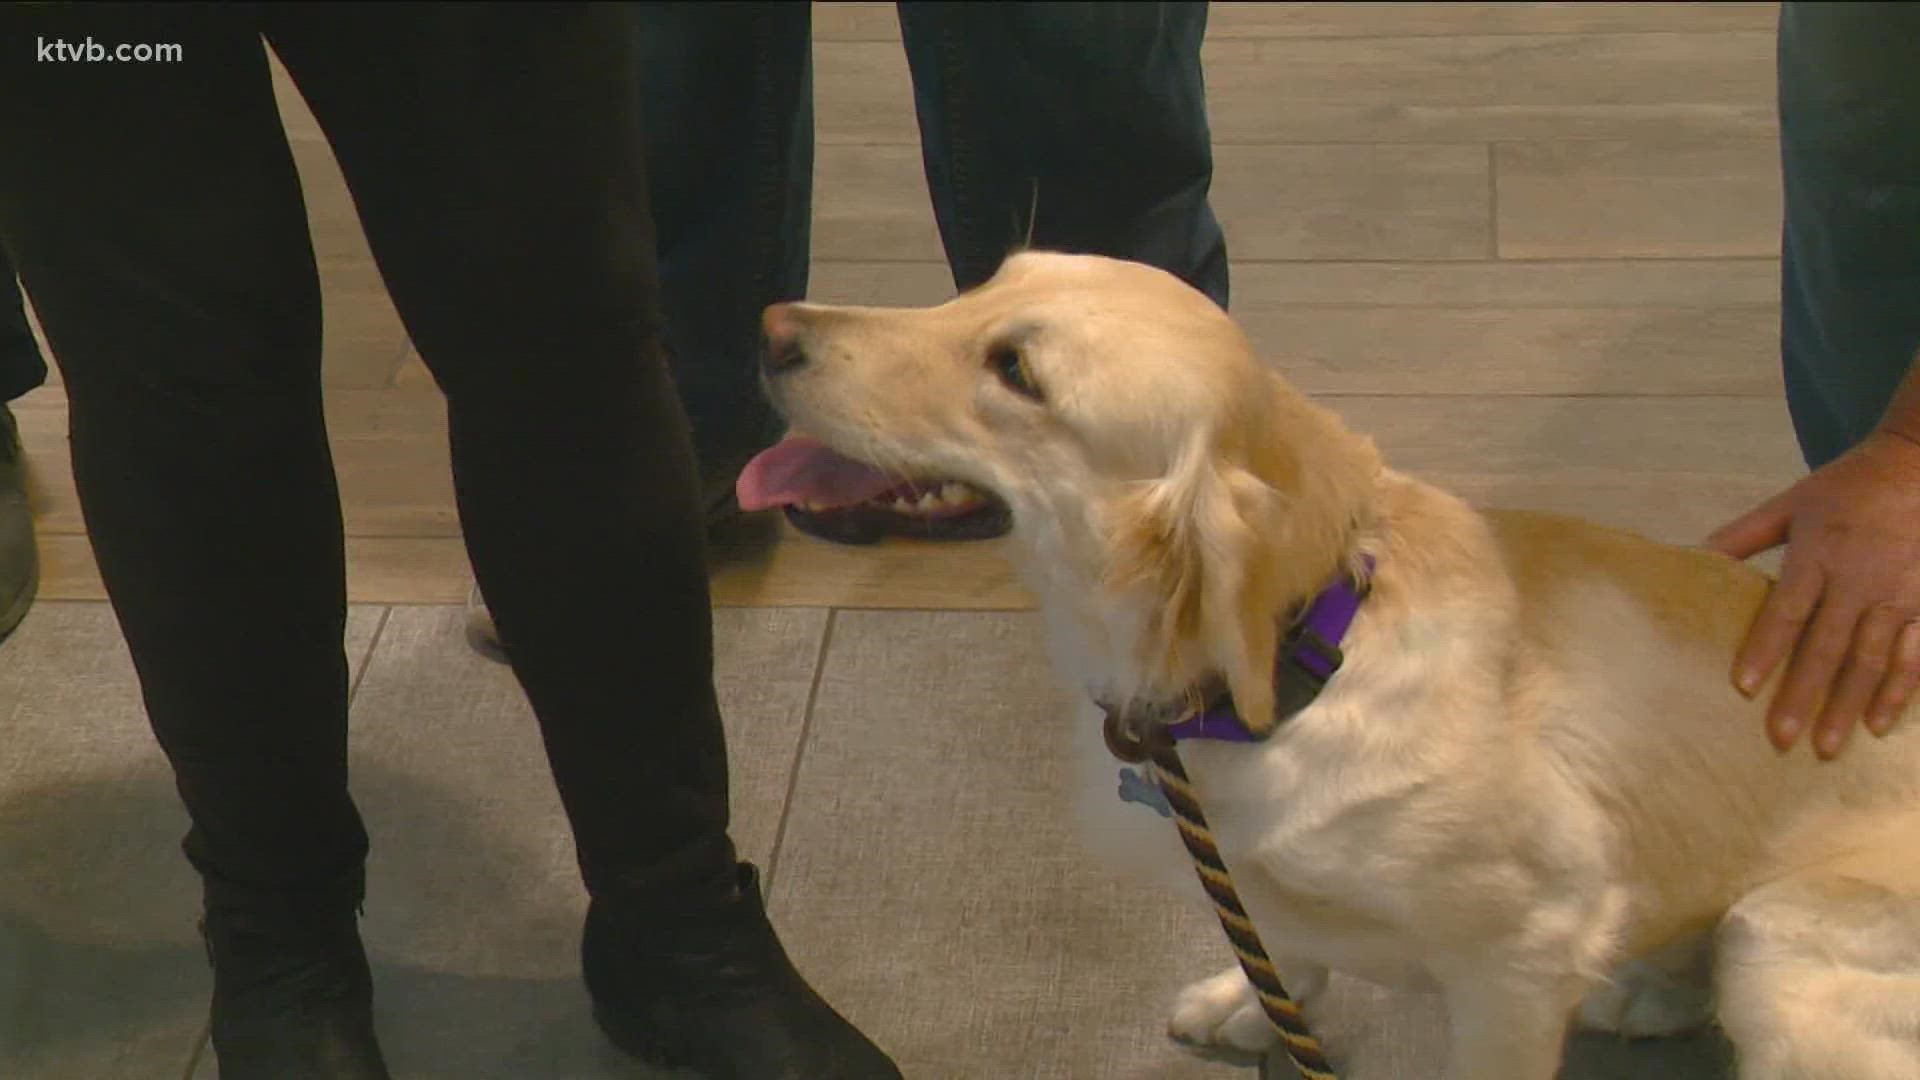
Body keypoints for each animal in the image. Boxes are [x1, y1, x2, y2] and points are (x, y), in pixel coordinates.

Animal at [729, 251, 1920, 1076]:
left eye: (1014, 369)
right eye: (980, 285)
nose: (772, 323)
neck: (1308, 665)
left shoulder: (1518, 959)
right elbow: (1280, 942)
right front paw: (1252, 1005)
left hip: (1783, 945)